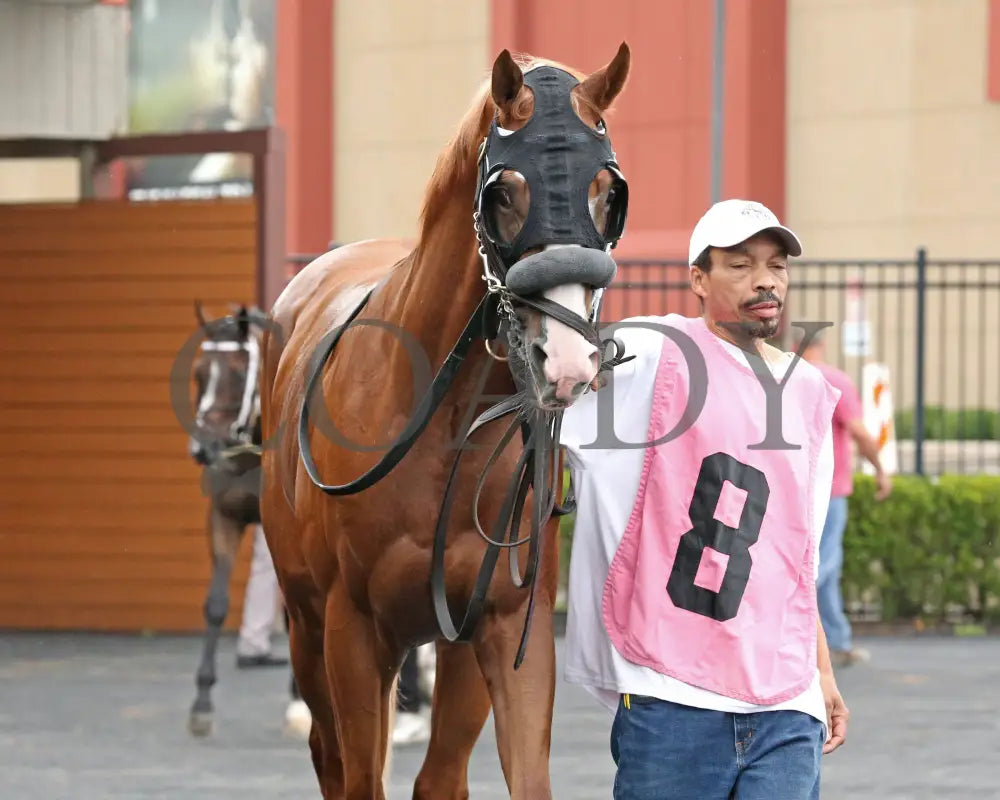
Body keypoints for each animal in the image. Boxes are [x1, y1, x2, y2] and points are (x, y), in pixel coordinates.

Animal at [181, 304, 302, 736]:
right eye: (200, 373)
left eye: (235, 373)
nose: (202, 448)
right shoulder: (224, 517)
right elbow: (216, 603)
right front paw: (201, 700)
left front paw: (299, 699)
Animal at [258, 45, 632, 800]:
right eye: (504, 191)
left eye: (608, 191)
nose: (568, 359)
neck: (441, 429)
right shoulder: (351, 631)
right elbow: (359, 778)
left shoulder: (502, 623)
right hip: (308, 625)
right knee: (329, 754)